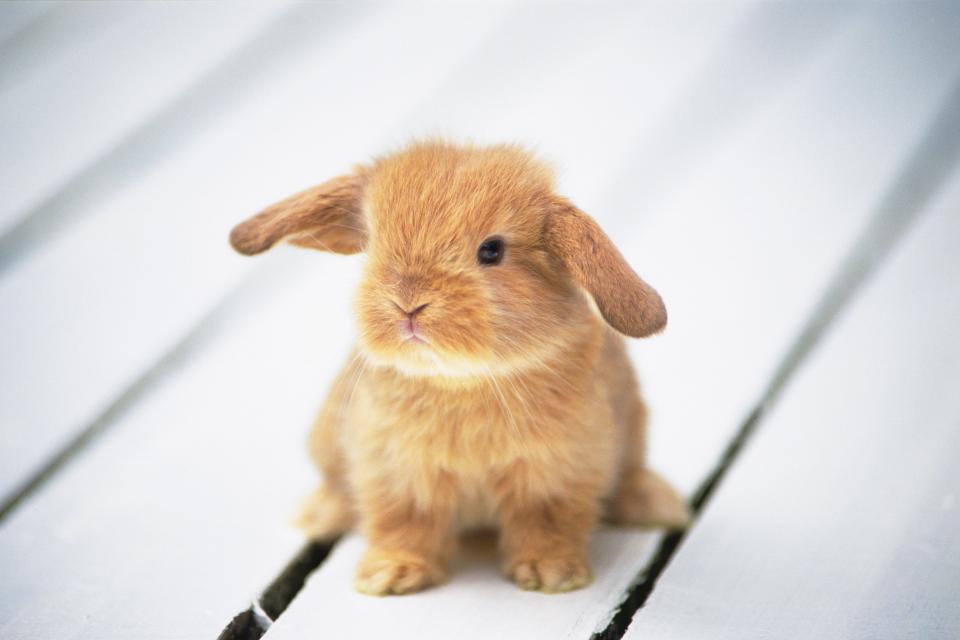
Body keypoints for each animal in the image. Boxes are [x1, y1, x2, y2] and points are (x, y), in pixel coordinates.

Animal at [229, 140, 688, 596]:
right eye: (374, 243)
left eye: (492, 250)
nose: (408, 304)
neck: (461, 379)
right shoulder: (396, 471)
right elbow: (403, 522)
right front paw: (390, 575)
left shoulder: (556, 471)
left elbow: (547, 522)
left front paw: (552, 574)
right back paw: (318, 515)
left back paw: (656, 505)